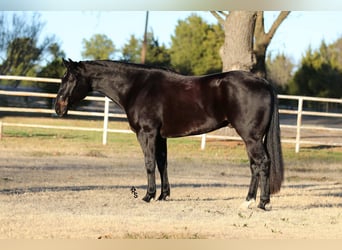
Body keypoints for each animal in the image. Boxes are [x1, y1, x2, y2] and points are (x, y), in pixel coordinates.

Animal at [56, 59, 284, 210]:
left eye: (70, 78)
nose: (58, 107)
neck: (138, 86)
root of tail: (263, 83)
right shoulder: (160, 137)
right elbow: (162, 163)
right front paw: (163, 196)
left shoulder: (147, 133)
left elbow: (149, 163)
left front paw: (148, 196)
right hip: (251, 138)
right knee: (254, 166)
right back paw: (248, 201)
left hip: (251, 138)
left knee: (262, 163)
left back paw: (262, 203)